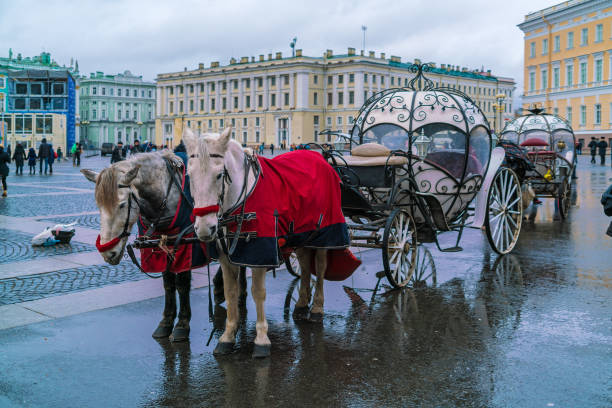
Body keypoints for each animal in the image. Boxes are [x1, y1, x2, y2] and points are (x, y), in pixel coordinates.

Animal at [184, 127, 346, 356]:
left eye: (219, 175)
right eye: (189, 176)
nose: (205, 228)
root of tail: (319, 156)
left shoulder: (259, 252)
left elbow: (257, 292)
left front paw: (261, 339)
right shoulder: (225, 256)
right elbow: (231, 292)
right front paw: (227, 336)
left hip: (324, 233)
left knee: (321, 268)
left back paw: (316, 309)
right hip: (301, 234)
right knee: (306, 266)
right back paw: (301, 305)